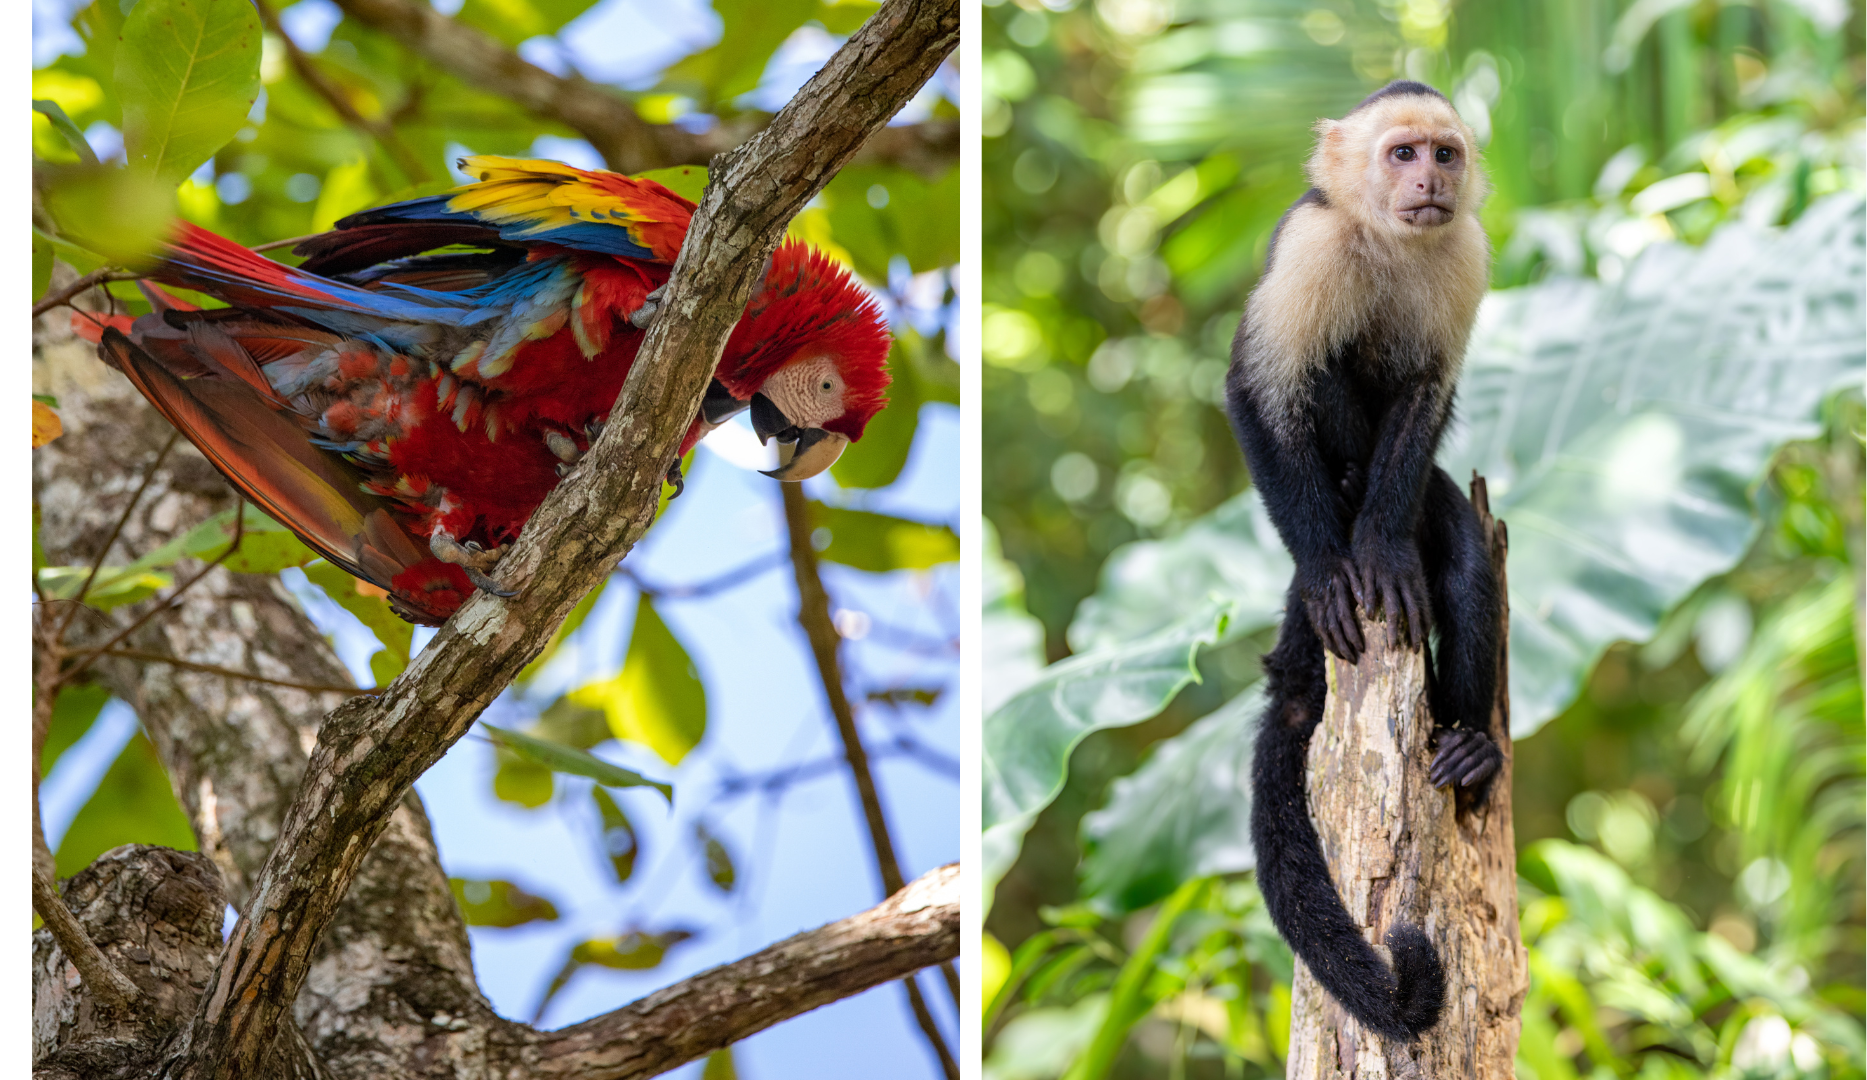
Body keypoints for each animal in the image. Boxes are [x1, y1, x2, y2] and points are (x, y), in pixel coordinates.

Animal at [1224, 79, 1501, 1038]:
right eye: (1401, 153)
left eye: (1444, 153)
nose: (1430, 182)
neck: (1388, 241)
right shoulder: (1311, 246)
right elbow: (1258, 388)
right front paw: (1327, 575)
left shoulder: (1465, 254)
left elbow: (1426, 394)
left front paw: (1380, 552)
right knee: (1320, 377)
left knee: (1460, 563)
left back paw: (1468, 749)